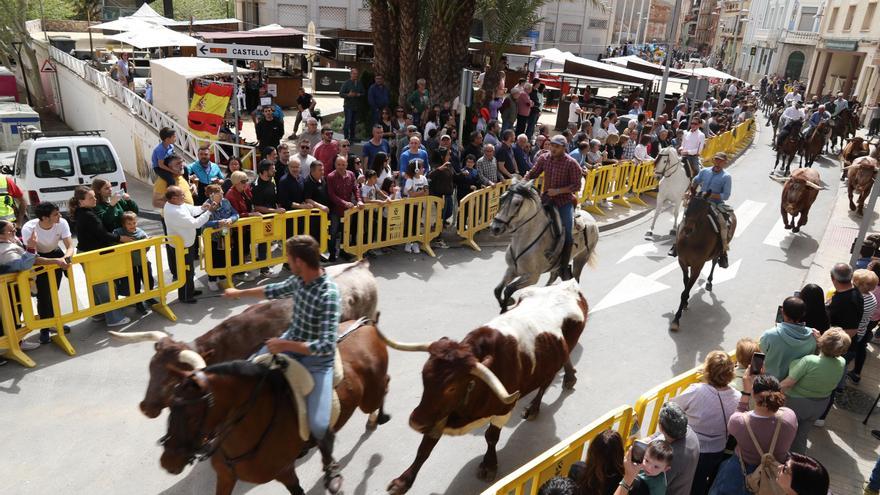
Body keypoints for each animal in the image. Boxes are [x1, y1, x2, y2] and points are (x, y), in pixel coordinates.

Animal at [376, 280, 588, 494]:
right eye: (424, 376)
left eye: (452, 387)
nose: (416, 422)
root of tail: (568, 284)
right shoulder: (438, 414)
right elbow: (424, 448)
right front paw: (403, 481)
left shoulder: (502, 410)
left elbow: (491, 436)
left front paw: (489, 465)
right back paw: (569, 378)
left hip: (557, 359)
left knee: (545, 382)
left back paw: (536, 406)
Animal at [488, 179, 600, 314]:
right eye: (501, 198)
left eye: (517, 203)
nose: (495, 228)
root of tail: (591, 218)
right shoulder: (512, 269)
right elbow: (497, 289)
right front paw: (508, 303)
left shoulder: (532, 276)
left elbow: (508, 289)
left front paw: (505, 307)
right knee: (556, 275)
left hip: (582, 257)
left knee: (574, 278)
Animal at [672, 194, 736, 334]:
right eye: (688, 206)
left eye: (702, 210)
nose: (687, 229)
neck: (691, 240)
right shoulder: (682, 262)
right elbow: (686, 283)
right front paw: (685, 303)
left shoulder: (697, 266)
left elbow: (685, 290)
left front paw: (676, 320)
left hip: (718, 251)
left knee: (714, 262)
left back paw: (710, 281)